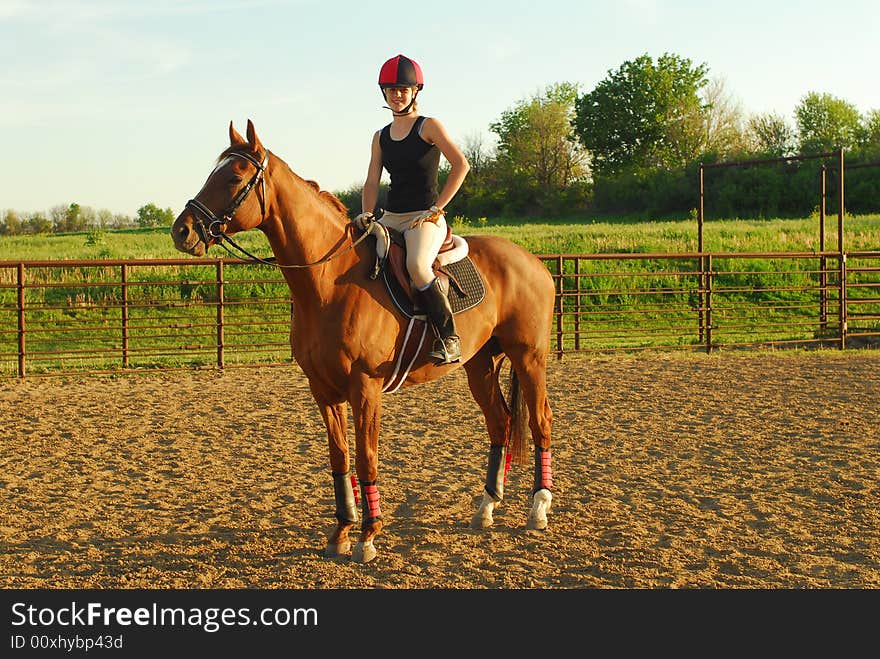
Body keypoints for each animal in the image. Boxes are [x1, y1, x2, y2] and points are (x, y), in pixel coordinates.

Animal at [171, 118, 552, 564]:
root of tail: (532, 260)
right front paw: (341, 531)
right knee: (501, 422)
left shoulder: (365, 388)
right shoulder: (323, 390)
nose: (182, 230)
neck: (329, 280)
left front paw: (369, 536)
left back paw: (538, 508)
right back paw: (487, 506)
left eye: (233, 177)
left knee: (541, 421)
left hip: (529, 358)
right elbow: (339, 458)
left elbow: (366, 458)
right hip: (480, 365)